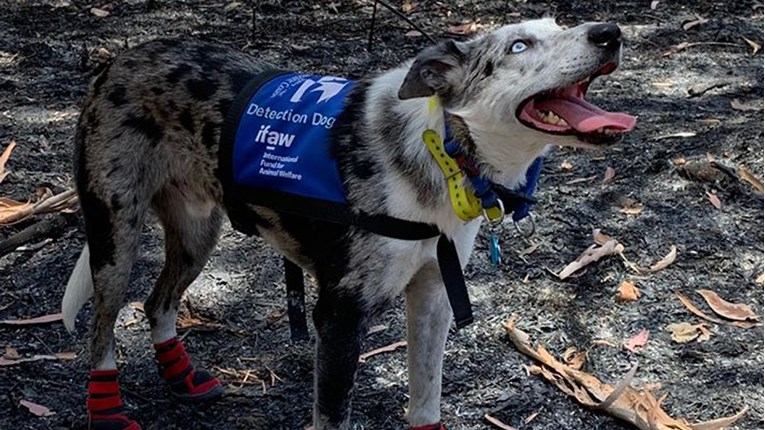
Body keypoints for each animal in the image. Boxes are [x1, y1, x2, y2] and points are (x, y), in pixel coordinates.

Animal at [59, 17, 636, 430]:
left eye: (559, 23)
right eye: (519, 46)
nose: (609, 33)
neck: (443, 151)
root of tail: (119, 60)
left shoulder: (433, 297)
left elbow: (425, 404)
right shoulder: (339, 317)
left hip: (198, 234)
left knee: (156, 302)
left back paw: (181, 377)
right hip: (115, 236)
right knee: (103, 324)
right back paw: (107, 411)